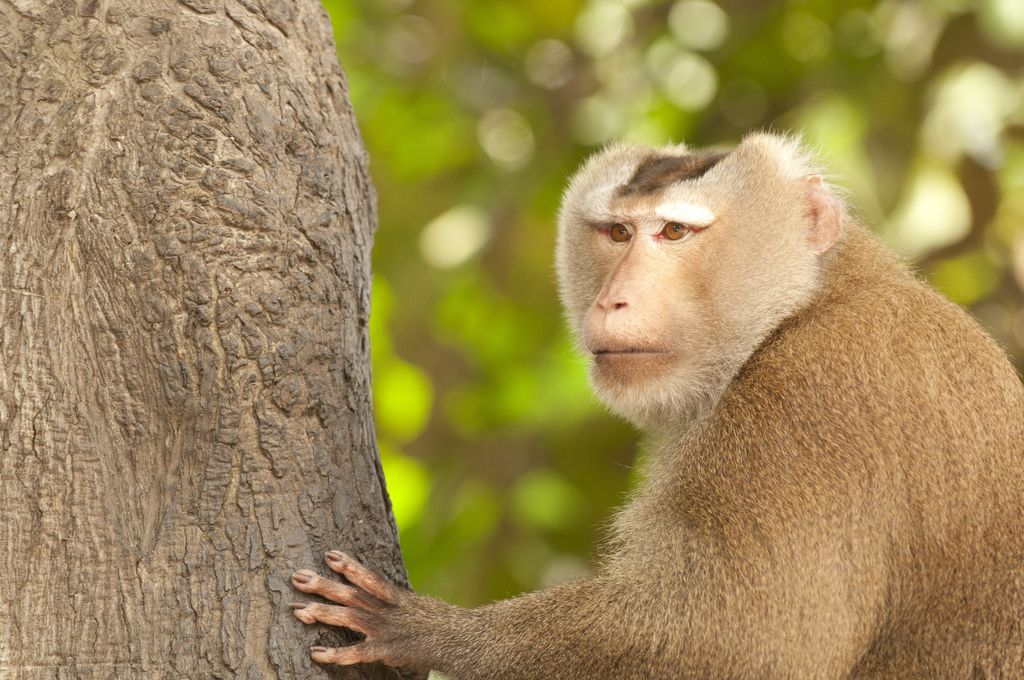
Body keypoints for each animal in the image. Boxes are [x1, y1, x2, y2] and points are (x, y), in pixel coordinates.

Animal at [289, 132, 1024, 679]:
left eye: (673, 232)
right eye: (617, 233)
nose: (614, 300)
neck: (806, 301)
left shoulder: (809, 406)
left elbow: (750, 645)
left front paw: (437, 633)